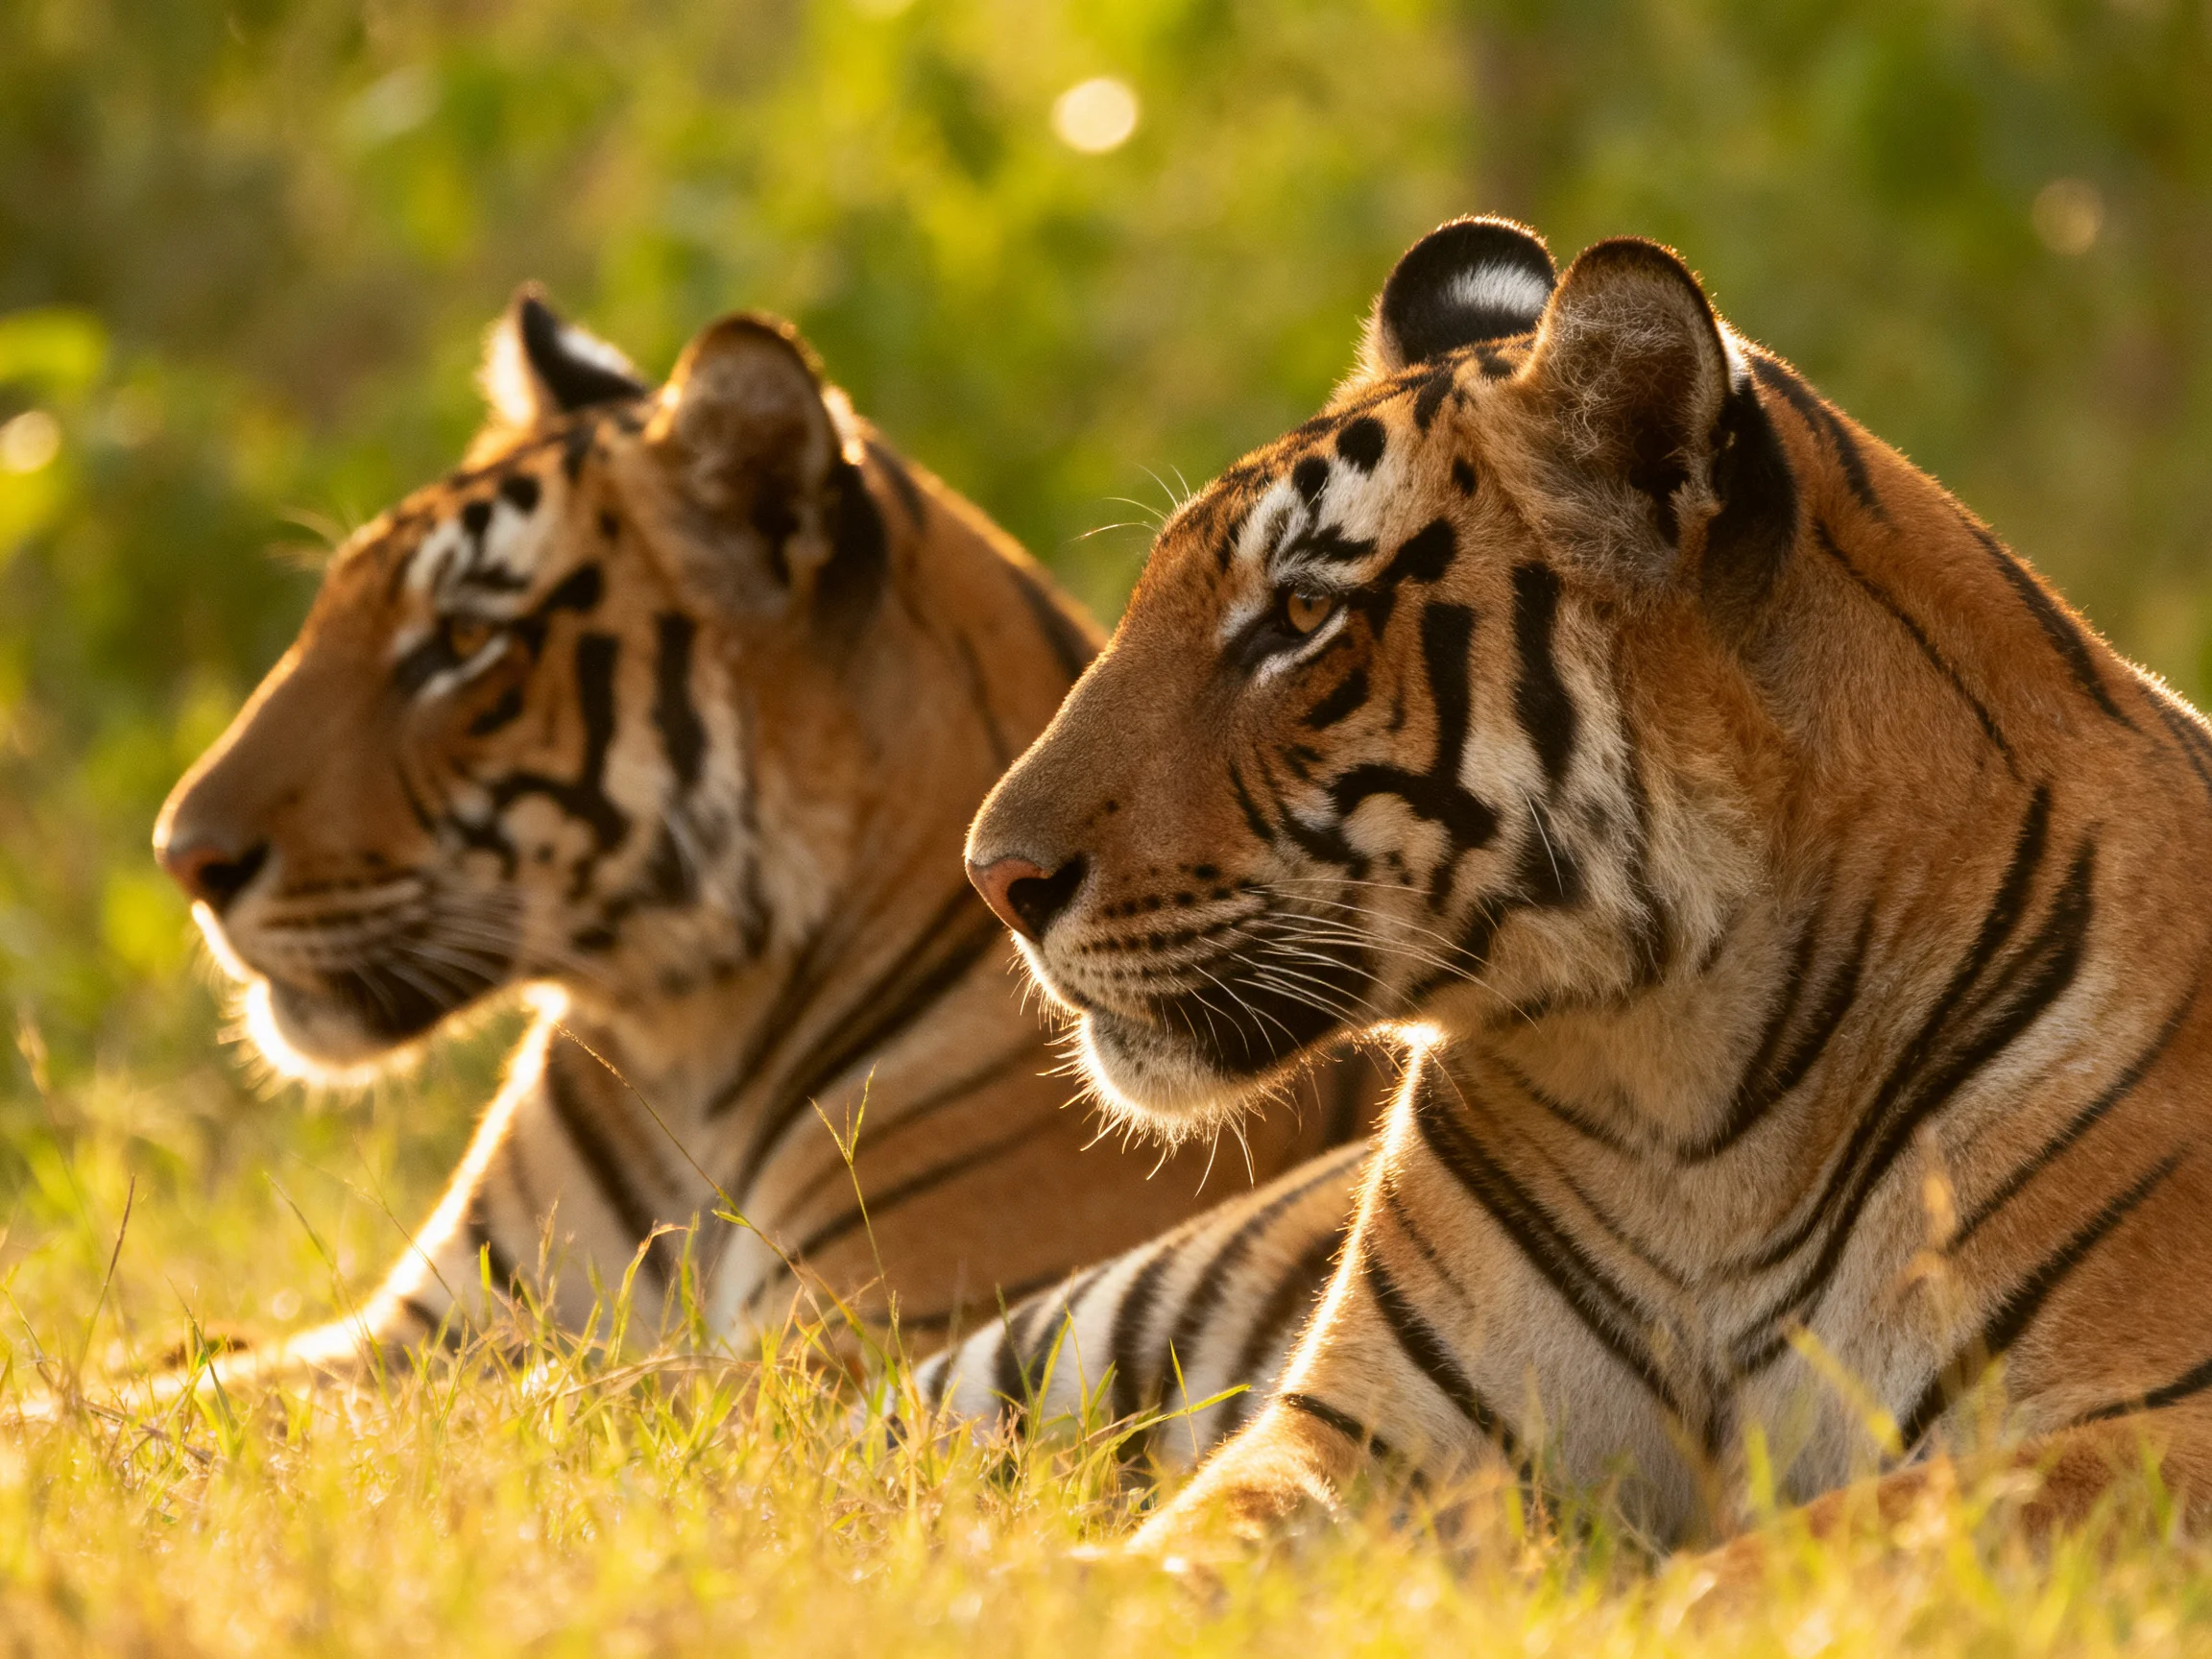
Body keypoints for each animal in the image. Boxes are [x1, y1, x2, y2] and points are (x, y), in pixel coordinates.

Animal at [144, 288, 1385, 1397]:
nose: (184, 859)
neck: (689, 1041)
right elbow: (157, 1397)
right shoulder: (428, 1325)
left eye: (459, 640)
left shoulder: (858, 1338)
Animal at [958, 213, 2212, 1559]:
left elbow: (1782, 1559)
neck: (1687, 1102)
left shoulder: (2156, 1428)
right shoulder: (1364, 1427)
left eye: (1298, 611)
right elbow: (1181, 1558)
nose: (997, 879)